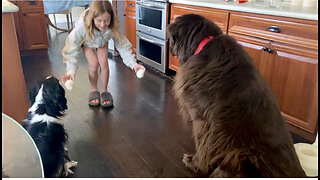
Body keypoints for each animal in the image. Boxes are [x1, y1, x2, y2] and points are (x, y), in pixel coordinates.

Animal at [168, 13, 304, 177]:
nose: (169, 47)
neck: (204, 44)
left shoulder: (204, 121)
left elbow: (202, 145)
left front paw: (194, 162)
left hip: (241, 156)